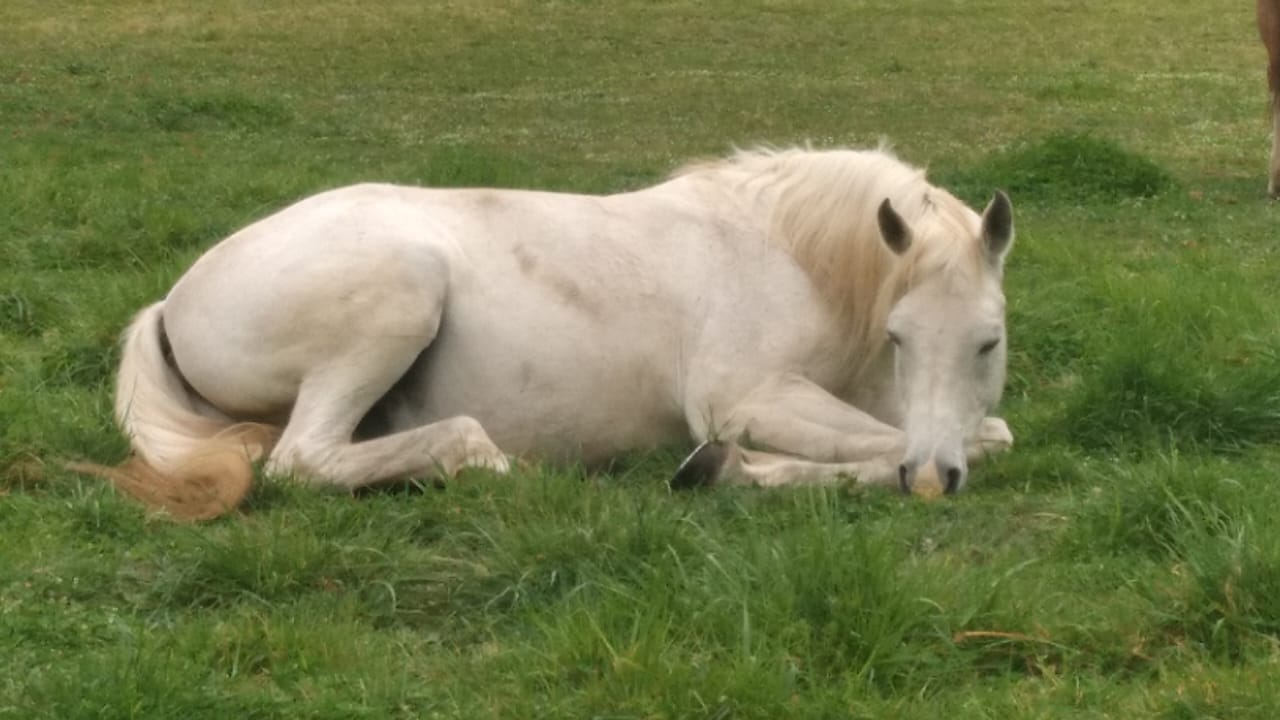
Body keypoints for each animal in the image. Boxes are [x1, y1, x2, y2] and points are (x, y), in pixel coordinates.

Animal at [74, 146, 1016, 520]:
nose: (932, 484)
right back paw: (495, 466)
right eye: (901, 335)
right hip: (399, 295)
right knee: (306, 460)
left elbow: (981, 433)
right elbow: (879, 444)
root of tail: (172, 303)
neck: (790, 254)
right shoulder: (748, 397)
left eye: (988, 342)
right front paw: (728, 468)